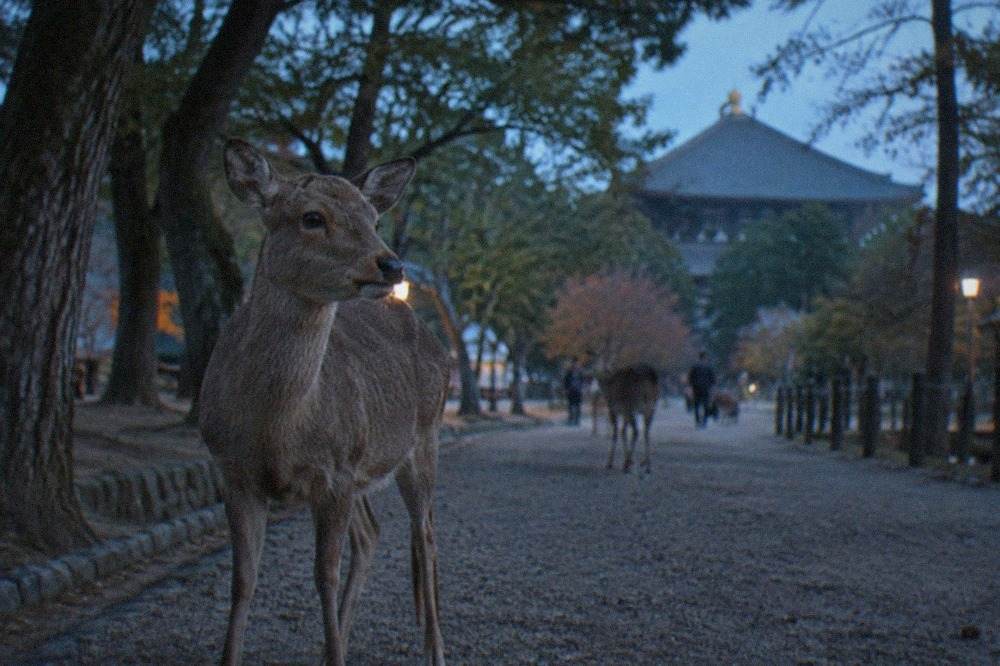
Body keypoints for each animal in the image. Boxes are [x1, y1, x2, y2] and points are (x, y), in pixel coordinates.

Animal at [199, 139, 450, 666]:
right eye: (312, 217)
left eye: (373, 217)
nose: (391, 264)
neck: (277, 429)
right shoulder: (232, 471)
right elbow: (243, 581)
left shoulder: (335, 474)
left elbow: (323, 577)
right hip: (363, 468)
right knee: (373, 533)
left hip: (424, 438)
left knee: (425, 534)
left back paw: (435, 651)